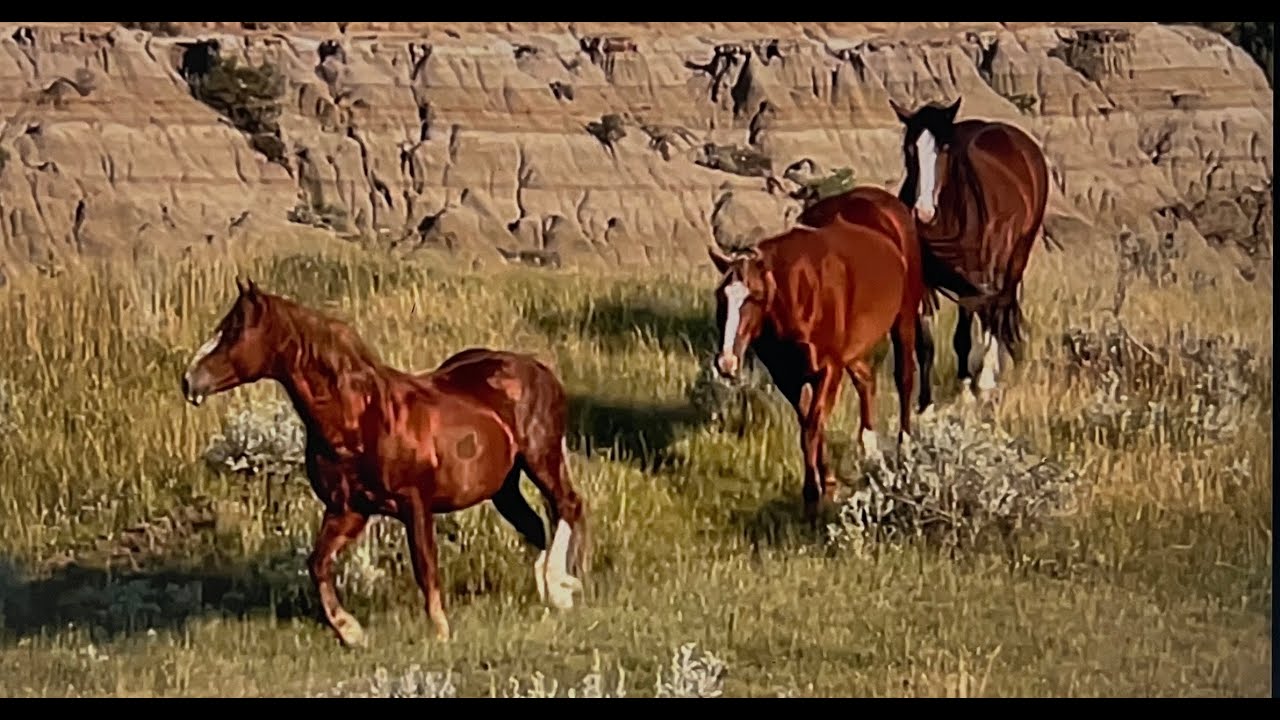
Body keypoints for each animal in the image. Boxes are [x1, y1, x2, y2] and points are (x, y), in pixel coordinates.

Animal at [180, 279, 589, 646]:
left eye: (234, 330)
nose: (189, 381)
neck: (362, 417)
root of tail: (540, 370)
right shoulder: (348, 510)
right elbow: (318, 564)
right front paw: (350, 632)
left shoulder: (415, 504)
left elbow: (425, 566)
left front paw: (440, 631)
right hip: (503, 487)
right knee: (536, 525)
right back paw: (549, 595)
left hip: (542, 459)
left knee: (568, 505)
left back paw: (560, 589)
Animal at [707, 213, 913, 524]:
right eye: (721, 296)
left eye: (755, 296)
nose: (726, 362)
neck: (798, 293)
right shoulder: (788, 377)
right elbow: (809, 425)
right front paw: (824, 483)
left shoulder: (829, 370)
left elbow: (812, 428)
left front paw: (813, 496)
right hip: (852, 353)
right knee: (866, 381)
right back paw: (870, 450)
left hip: (904, 321)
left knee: (905, 380)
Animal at [889, 96, 1051, 407]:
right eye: (909, 148)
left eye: (944, 148)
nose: (923, 212)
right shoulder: (923, 284)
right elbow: (925, 343)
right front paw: (925, 405)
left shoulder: (971, 281)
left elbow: (963, 336)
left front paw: (968, 390)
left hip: (1014, 257)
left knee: (998, 307)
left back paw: (988, 378)